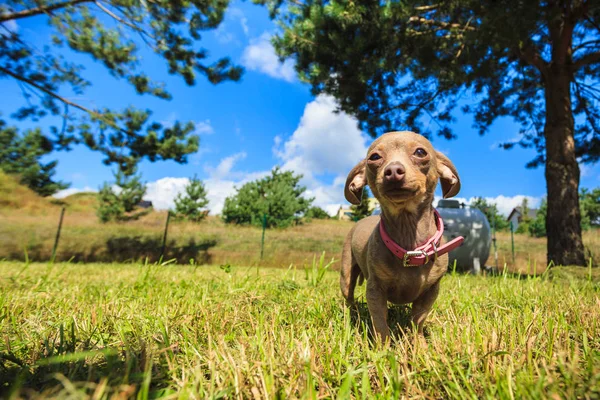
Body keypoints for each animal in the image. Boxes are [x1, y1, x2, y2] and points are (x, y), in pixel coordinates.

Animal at [340, 130, 462, 342]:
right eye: (374, 157)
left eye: (420, 152)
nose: (393, 170)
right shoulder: (375, 291)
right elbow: (381, 325)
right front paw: (382, 347)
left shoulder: (430, 292)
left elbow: (417, 321)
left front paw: (418, 344)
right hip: (346, 275)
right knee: (349, 298)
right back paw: (352, 317)